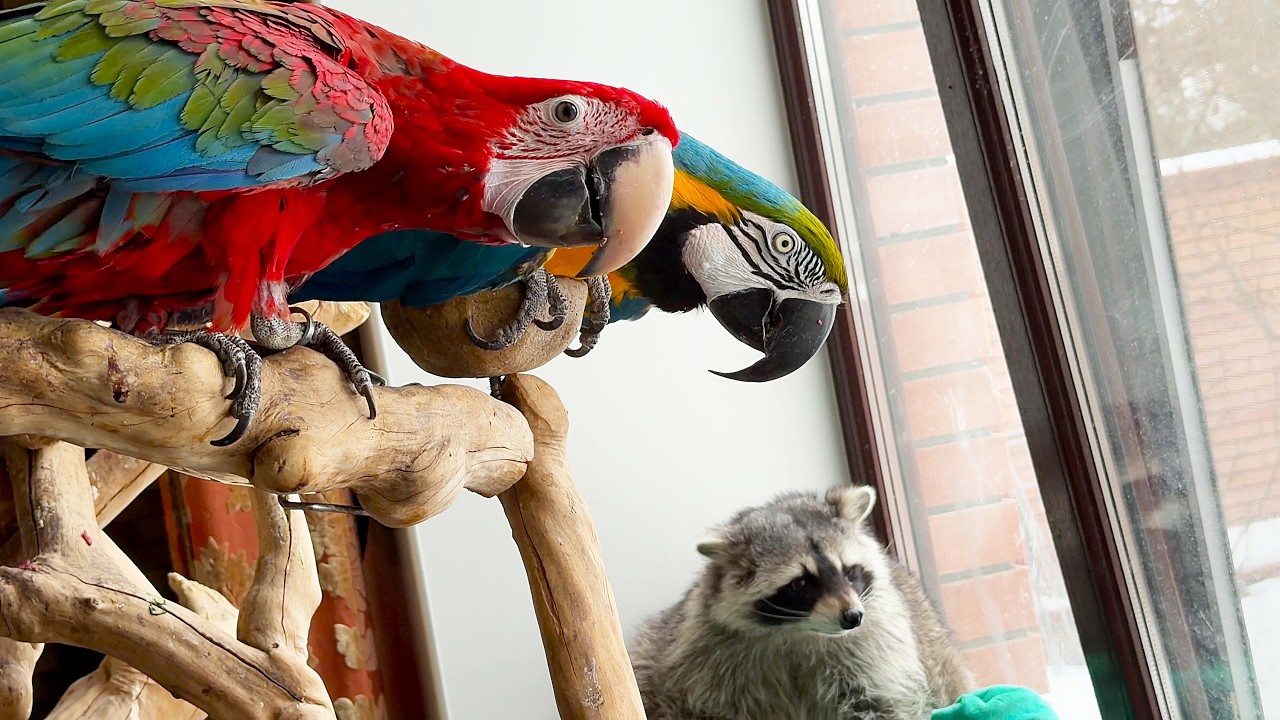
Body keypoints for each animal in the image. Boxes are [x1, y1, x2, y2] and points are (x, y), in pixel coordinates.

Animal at [630, 485, 974, 720]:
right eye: (800, 583)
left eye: (850, 571)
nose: (853, 617)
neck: (797, 630)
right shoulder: (704, 661)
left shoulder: (878, 652)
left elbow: (883, 702)